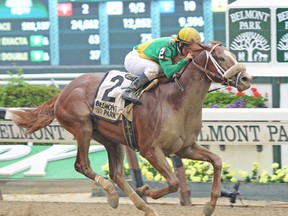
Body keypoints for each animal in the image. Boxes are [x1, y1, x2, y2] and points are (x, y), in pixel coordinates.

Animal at [7, 43, 252, 215]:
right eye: (221, 57)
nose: (246, 79)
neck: (176, 100)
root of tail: (64, 91)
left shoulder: (185, 148)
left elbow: (217, 161)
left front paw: (209, 206)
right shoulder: (150, 150)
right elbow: (173, 182)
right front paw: (147, 190)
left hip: (111, 139)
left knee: (116, 173)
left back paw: (145, 208)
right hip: (82, 128)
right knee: (82, 165)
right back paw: (113, 196)